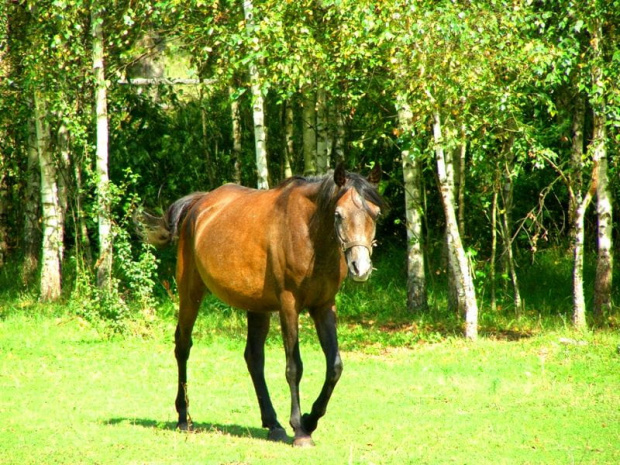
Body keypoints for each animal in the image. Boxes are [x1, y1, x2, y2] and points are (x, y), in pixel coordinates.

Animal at [143, 164, 386, 446]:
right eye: (338, 214)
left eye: (375, 214)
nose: (361, 268)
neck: (309, 234)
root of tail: (197, 205)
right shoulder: (289, 306)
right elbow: (294, 367)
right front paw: (300, 430)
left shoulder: (324, 306)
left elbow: (334, 366)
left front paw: (310, 419)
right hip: (190, 292)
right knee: (183, 346)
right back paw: (183, 417)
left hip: (257, 307)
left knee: (254, 359)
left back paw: (273, 424)